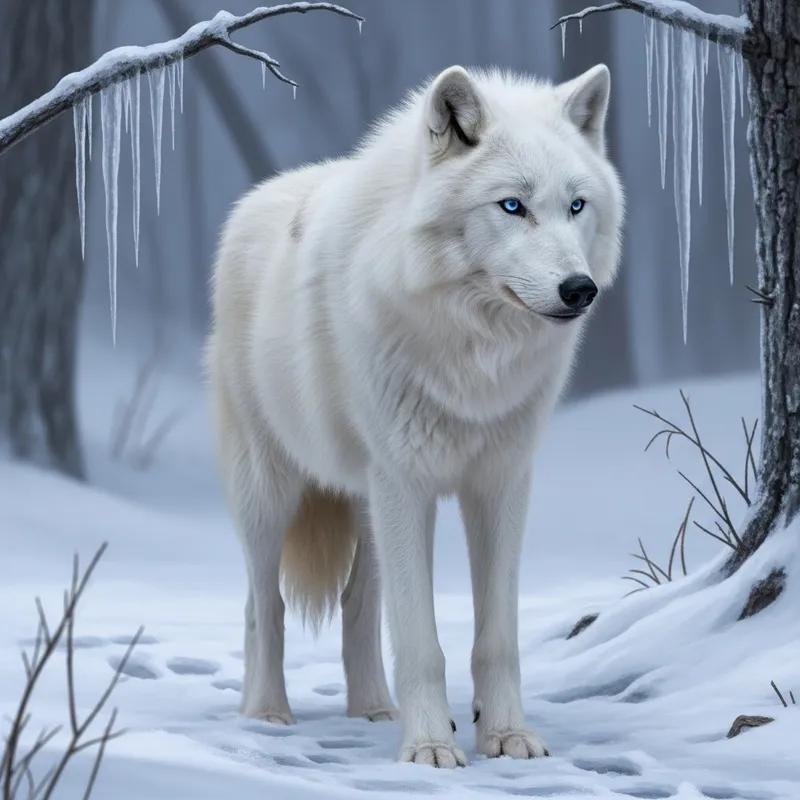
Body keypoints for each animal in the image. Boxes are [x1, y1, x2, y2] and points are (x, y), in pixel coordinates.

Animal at [205, 62, 624, 768]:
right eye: (513, 206)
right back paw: (266, 713)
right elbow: (421, 640)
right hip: (272, 491)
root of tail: (259, 196)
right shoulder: (406, 482)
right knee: (263, 607)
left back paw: (375, 710)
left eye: (576, 206)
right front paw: (430, 746)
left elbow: (496, 637)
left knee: (358, 605)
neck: (472, 353)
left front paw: (506, 735)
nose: (580, 289)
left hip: (367, 501)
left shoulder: (500, 483)